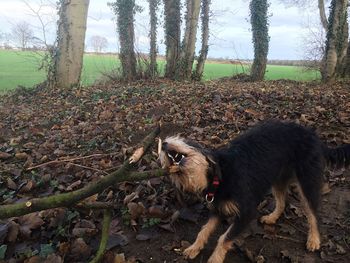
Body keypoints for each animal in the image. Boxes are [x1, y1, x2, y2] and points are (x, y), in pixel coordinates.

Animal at [159, 120, 350, 262]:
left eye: (183, 140)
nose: (163, 144)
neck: (220, 175)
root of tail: (315, 137)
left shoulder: (246, 212)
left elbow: (224, 238)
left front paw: (214, 259)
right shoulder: (218, 210)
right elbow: (203, 231)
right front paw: (193, 248)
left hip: (307, 181)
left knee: (313, 212)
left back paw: (314, 240)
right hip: (278, 178)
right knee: (282, 201)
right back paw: (272, 218)